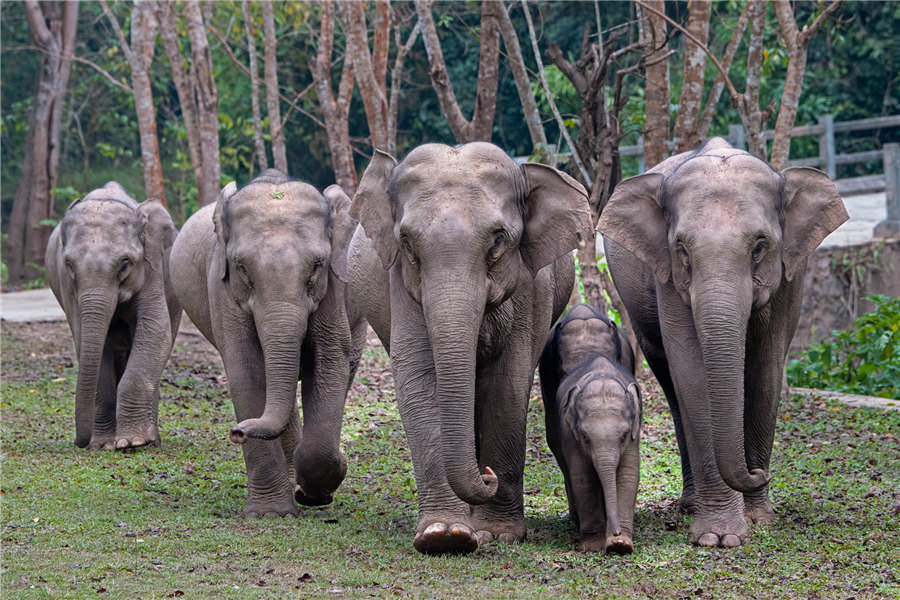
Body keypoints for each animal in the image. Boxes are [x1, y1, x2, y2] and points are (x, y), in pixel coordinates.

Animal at [44, 182, 182, 450]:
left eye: (125, 263)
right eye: (69, 265)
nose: (80, 442)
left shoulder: (152, 268)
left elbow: (156, 331)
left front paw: (132, 442)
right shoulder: (68, 287)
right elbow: (89, 342)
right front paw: (104, 445)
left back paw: (151, 441)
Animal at [169, 169, 366, 516]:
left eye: (316, 267)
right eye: (242, 269)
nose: (237, 432)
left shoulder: (334, 291)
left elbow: (329, 361)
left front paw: (318, 490)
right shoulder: (222, 291)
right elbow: (246, 371)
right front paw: (270, 513)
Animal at [348, 141, 596, 552]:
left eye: (497, 239)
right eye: (407, 243)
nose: (488, 476)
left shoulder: (531, 286)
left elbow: (508, 385)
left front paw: (496, 533)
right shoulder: (401, 286)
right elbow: (418, 380)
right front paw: (444, 536)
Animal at [536, 308, 644, 556]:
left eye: (624, 436)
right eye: (585, 437)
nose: (615, 533)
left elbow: (628, 473)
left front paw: (621, 544)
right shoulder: (569, 430)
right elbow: (582, 475)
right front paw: (594, 546)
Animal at [596, 137, 848, 548]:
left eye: (760, 246)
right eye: (682, 249)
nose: (759, 474)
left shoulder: (790, 277)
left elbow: (765, 372)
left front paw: (758, 519)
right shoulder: (669, 279)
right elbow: (694, 375)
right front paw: (719, 536)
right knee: (672, 387)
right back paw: (690, 504)